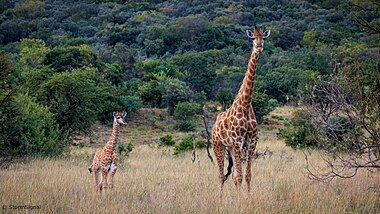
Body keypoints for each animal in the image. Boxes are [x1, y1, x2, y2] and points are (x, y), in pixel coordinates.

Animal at [212, 25, 268, 199]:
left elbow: (247, 175)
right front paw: (239, 201)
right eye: (252, 38)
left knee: (230, 175)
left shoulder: (251, 141)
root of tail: (214, 125)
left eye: (263, 37)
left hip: (230, 147)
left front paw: (248, 199)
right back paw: (220, 200)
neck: (246, 103)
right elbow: (239, 177)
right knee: (221, 175)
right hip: (218, 145)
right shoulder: (237, 141)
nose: (259, 46)